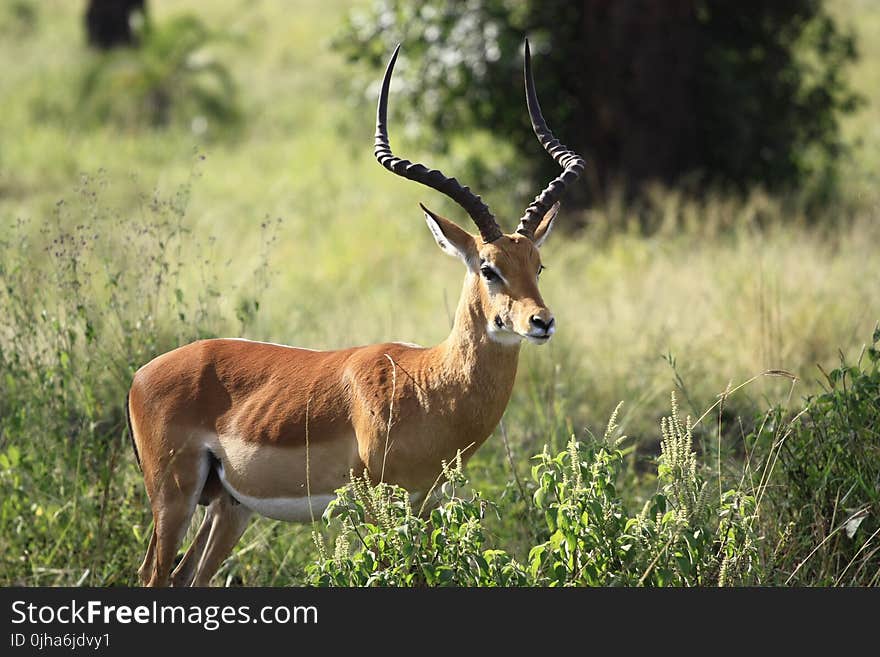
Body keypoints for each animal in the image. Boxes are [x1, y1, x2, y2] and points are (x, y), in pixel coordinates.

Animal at [127, 41, 584, 584]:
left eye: (538, 264)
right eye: (489, 269)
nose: (542, 322)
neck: (428, 382)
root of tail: (141, 374)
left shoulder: (422, 502)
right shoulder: (378, 504)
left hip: (229, 506)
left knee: (186, 575)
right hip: (173, 497)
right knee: (153, 574)